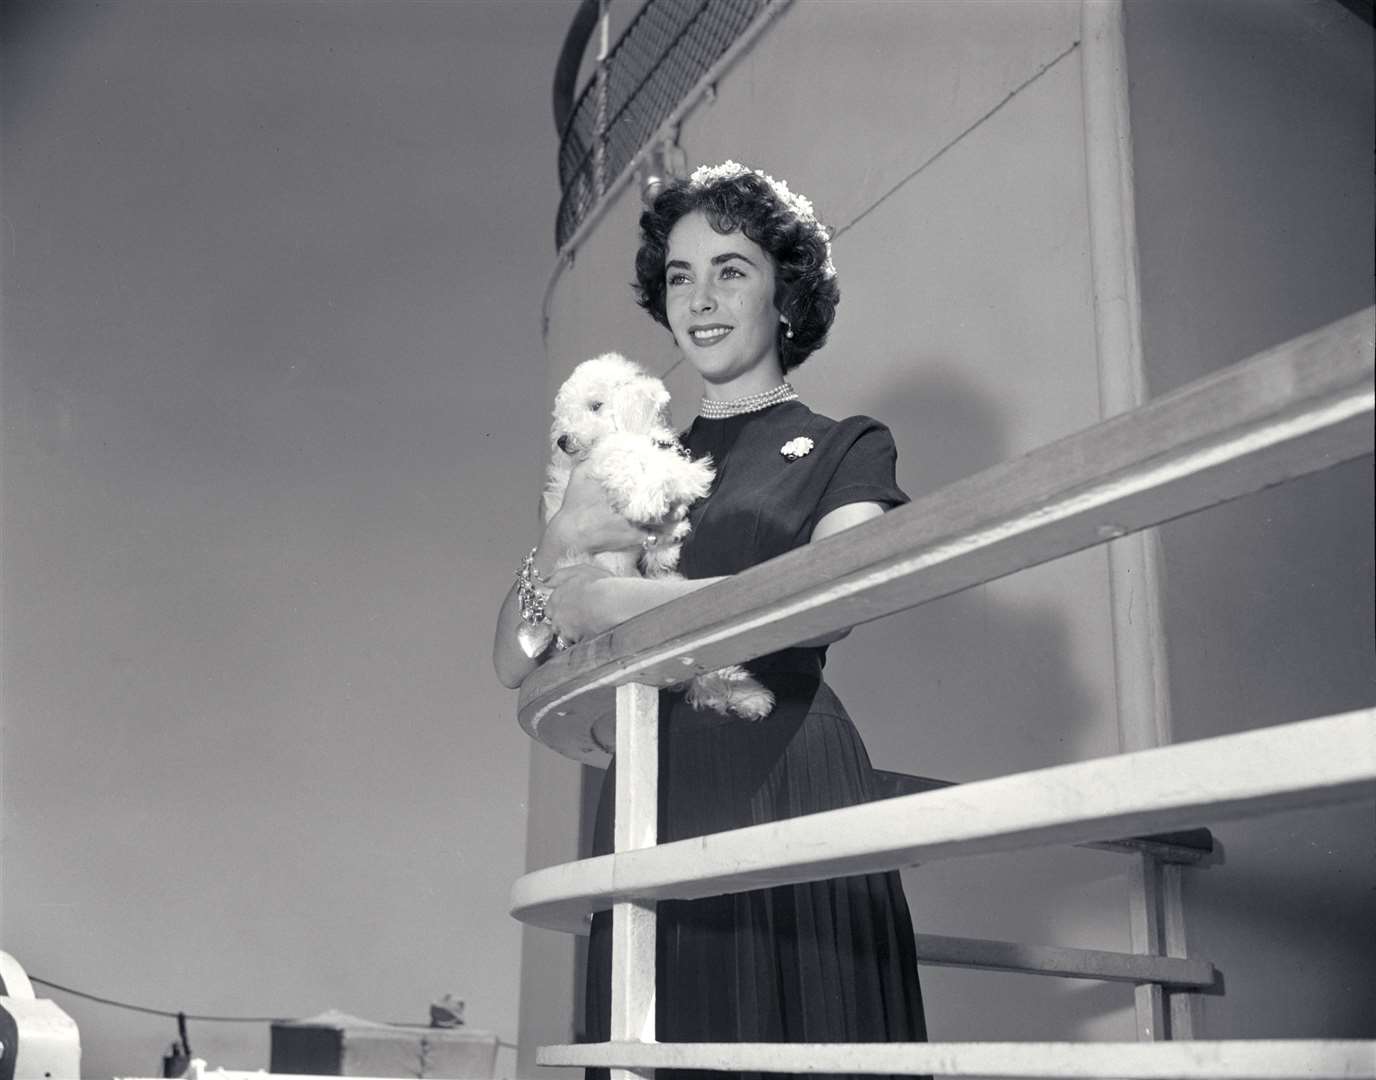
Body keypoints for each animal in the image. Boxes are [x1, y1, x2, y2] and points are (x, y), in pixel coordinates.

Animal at [539, 354, 776, 720]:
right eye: (564, 412)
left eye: (596, 405)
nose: (563, 440)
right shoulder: (601, 463)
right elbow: (624, 459)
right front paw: (646, 504)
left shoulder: (674, 460)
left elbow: (668, 473)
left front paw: (667, 531)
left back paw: (747, 695)